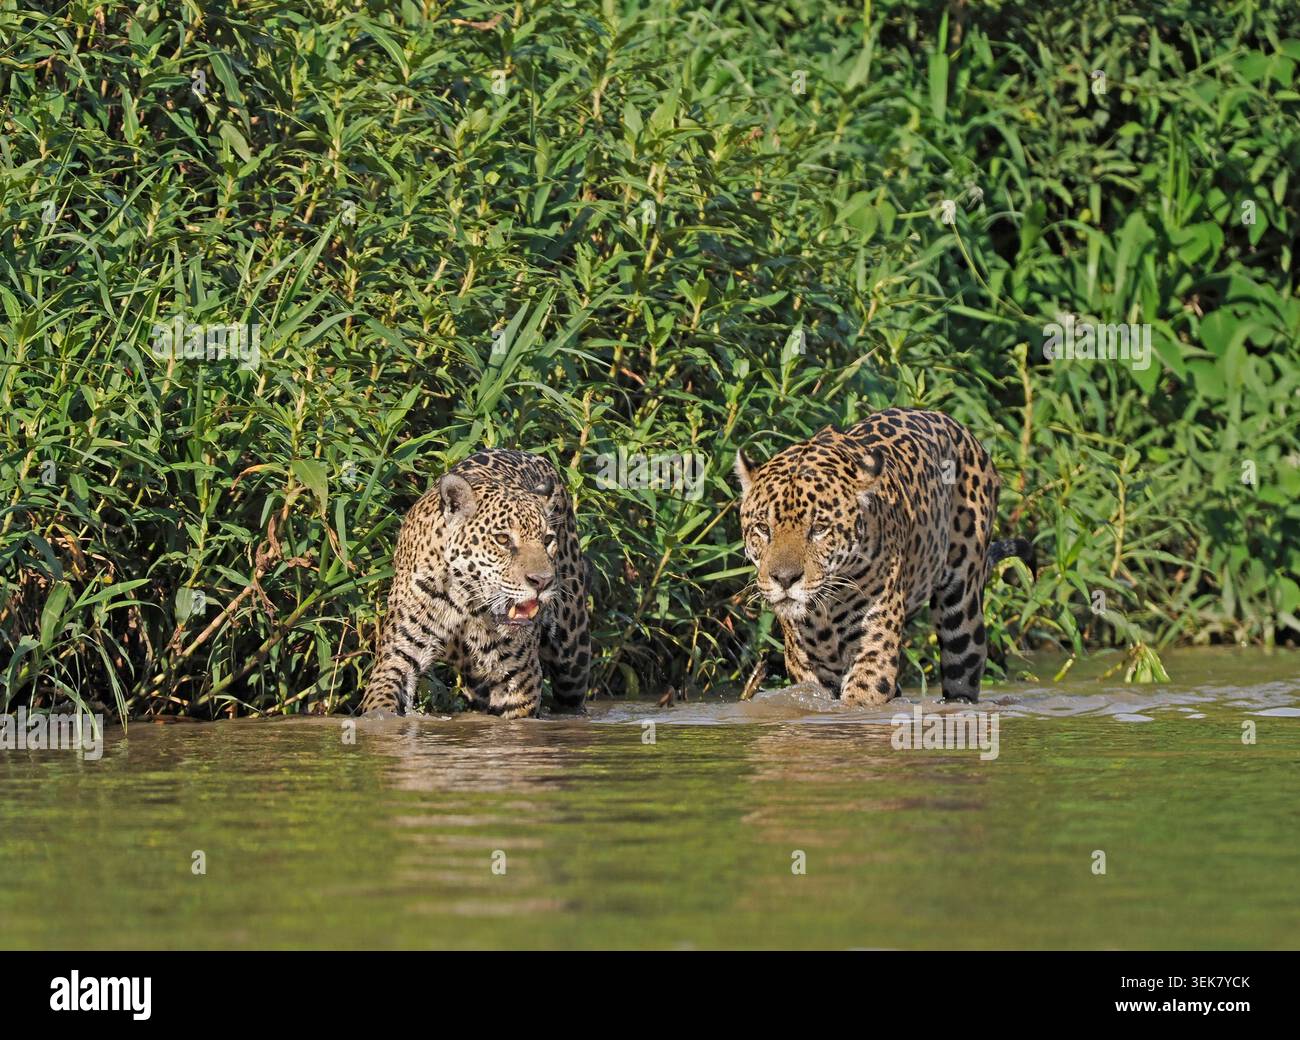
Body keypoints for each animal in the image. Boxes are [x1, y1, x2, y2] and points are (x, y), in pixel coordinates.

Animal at [360, 448, 592, 719]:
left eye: (547, 540)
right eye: (502, 539)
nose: (542, 581)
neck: (465, 602)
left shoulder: (520, 677)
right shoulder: (398, 655)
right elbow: (382, 695)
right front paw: (382, 718)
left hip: (573, 654)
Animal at [734, 408, 1033, 706]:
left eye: (819, 529)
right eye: (763, 528)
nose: (784, 579)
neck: (825, 609)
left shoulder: (874, 648)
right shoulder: (807, 662)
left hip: (963, 609)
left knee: (964, 670)